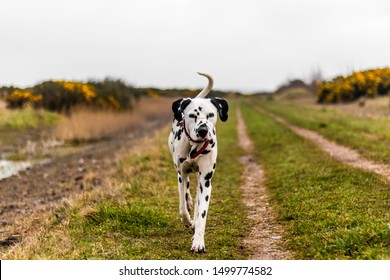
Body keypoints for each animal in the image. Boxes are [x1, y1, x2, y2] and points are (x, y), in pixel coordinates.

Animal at [168, 71, 229, 252]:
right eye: (192, 115)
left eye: (211, 115)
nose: (203, 130)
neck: (194, 147)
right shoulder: (181, 174)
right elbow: (182, 206)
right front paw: (187, 219)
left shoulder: (206, 180)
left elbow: (202, 212)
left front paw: (198, 241)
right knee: (187, 194)